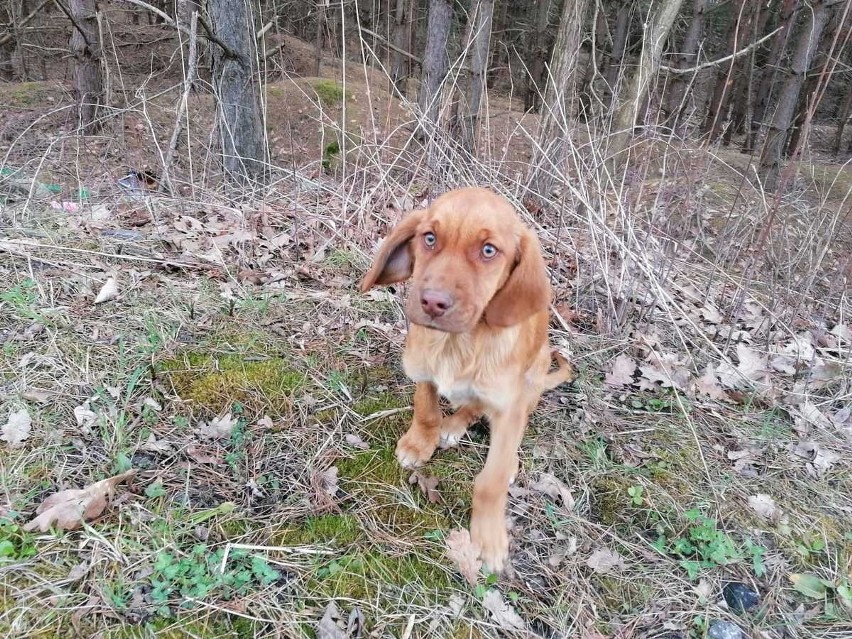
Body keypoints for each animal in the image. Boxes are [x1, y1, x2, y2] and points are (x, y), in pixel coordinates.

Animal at [360, 188, 572, 572]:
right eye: (429, 238)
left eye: (488, 250)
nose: (432, 302)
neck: (460, 343)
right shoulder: (421, 367)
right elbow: (426, 408)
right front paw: (420, 443)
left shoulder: (507, 405)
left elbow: (491, 479)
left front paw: (488, 537)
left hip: (533, 376)